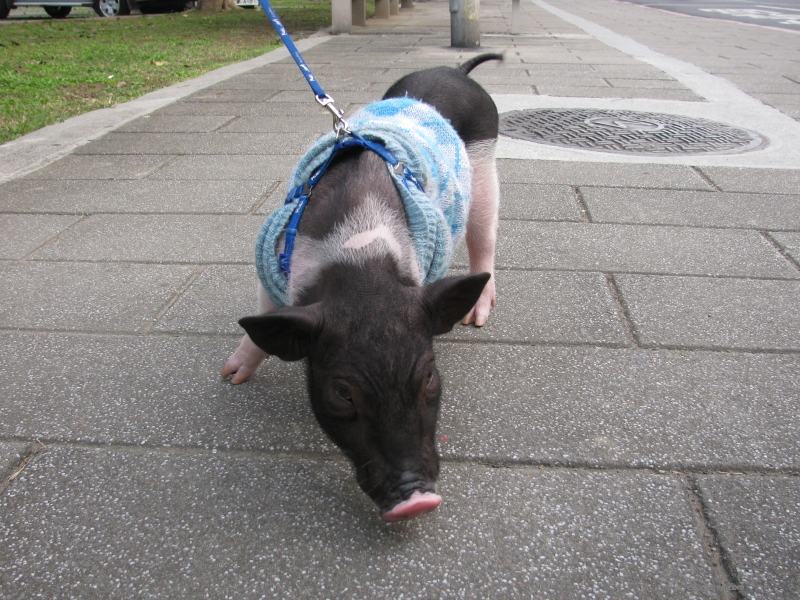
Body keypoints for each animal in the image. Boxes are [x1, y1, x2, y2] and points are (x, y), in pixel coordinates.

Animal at [222, 54, 502, 522]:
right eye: (342, 392)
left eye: (429, 376)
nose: (417, 502)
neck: (360, 264)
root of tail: (456, 70)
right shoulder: (271, 260)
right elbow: (261, 317)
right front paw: (230, 377)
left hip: (485, 168)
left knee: (485, 238)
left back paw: (476, 318)